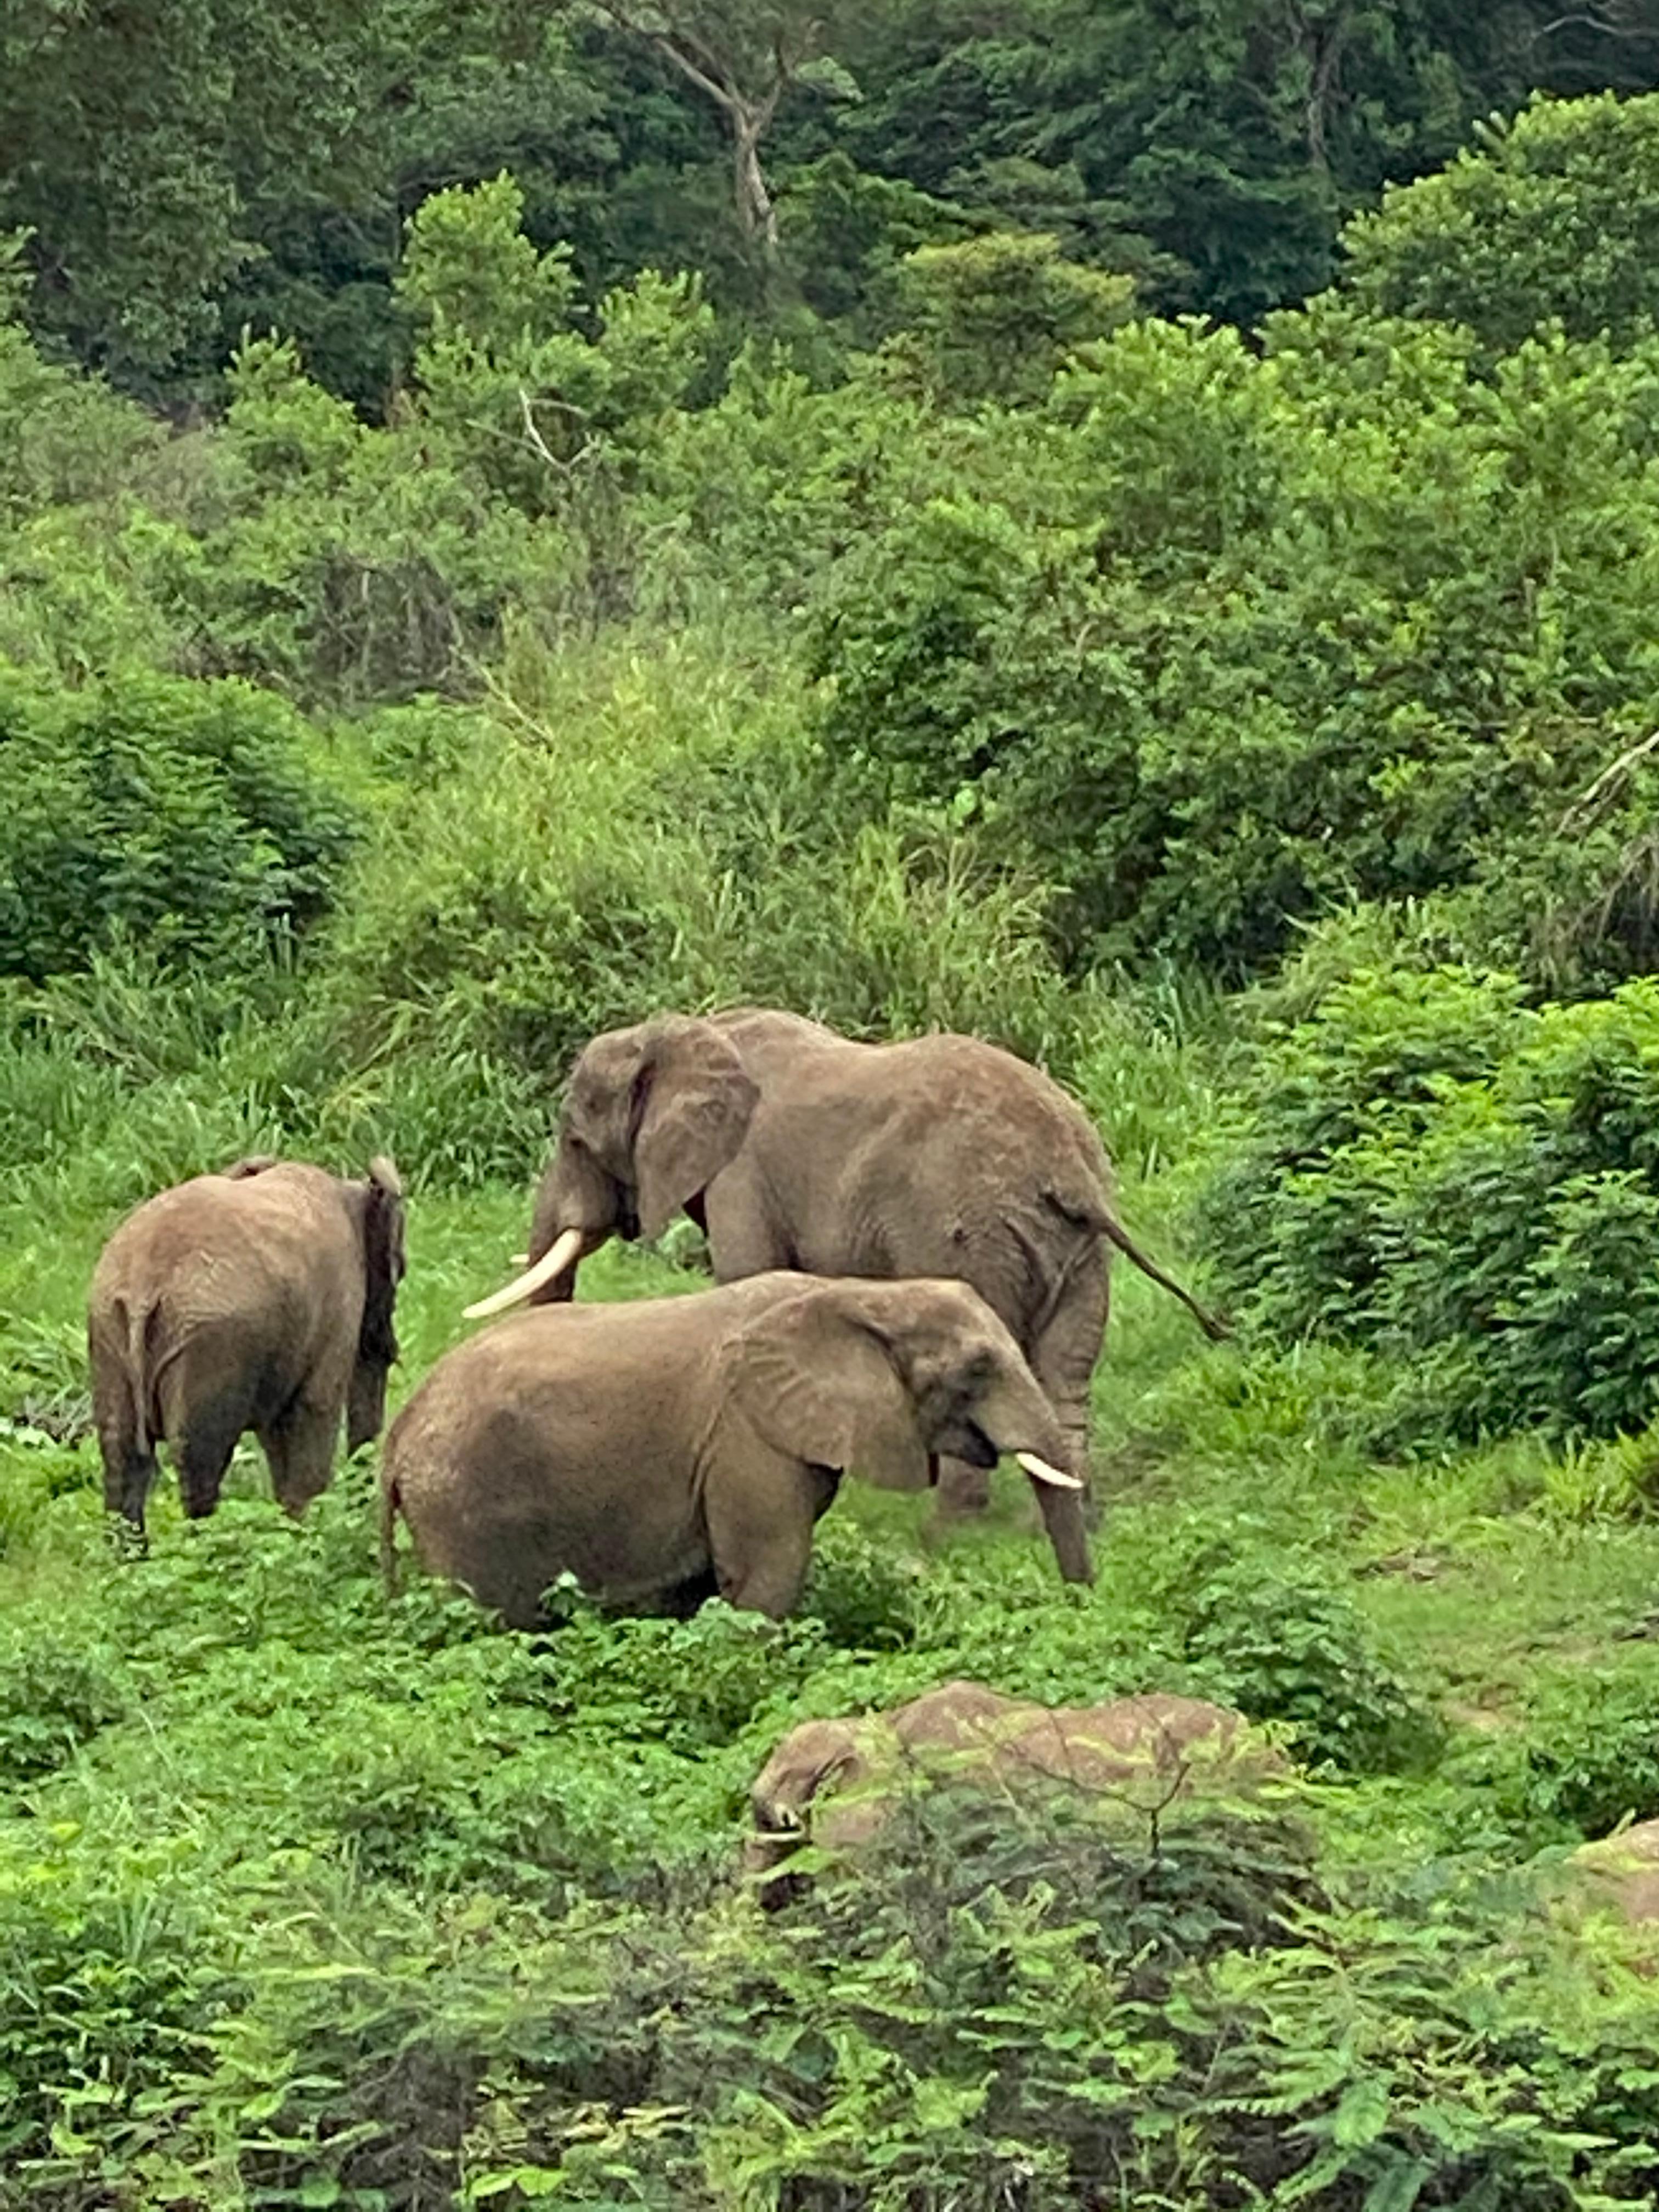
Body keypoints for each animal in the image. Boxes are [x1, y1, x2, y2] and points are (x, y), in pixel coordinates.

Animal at [88, 1159, 407, 1539]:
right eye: (401, 1271)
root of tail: (142, 1288)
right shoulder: (338, 1306)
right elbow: (313, 1412)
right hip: (209, 1346)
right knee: (198, 1465)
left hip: (109, 1332)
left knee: (120, 1459)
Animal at [385, 1265, 1084, 1628]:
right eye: (977, 1369)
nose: (1076, 1604)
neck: (859, 1290)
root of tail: (398, 1435)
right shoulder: (746, 1435)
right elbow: (765, 1575)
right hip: (462, 1501)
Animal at [471, 1008, 1238, 1575]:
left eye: (575, 1141)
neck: (683, 1032)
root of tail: (1070, 1170)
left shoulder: (743, 1174)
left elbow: (748, 1275)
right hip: (1076, 1251)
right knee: (1067, 1374)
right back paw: (1061, 1521)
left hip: (970, 1231)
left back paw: (949, 1537)